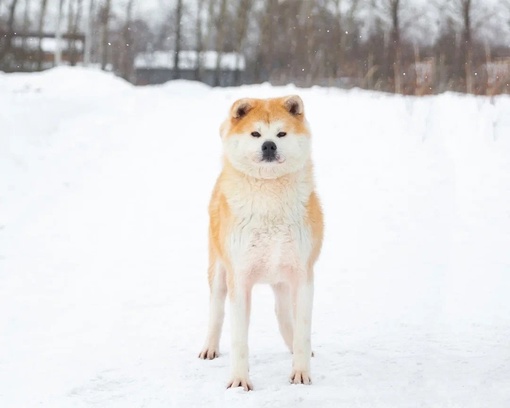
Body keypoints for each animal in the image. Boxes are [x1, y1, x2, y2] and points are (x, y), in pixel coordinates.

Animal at [198, 94, 322, 390]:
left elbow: (302, 332)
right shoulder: (239, 279)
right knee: (216, 312)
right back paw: (209, 348)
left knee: (283, 315)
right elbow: (239, 339)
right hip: (218, 273)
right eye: (255, 134)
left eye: (281, 133)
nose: (269, 145)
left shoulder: (303, 276)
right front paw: (239, 381)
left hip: (283, 280)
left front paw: (301, 373)